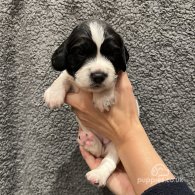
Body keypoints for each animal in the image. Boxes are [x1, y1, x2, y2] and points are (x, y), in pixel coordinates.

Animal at [43, 19, 130, 186]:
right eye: (81, 53)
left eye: (112, 53)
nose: (98, 75)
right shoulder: (72, 77)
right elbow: (64, 75)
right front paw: (54, 94)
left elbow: (112, 80)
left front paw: (103, 97)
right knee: (97, 150)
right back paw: (89, 141)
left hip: (117, 146)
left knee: (109, 160)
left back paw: (98, 174)